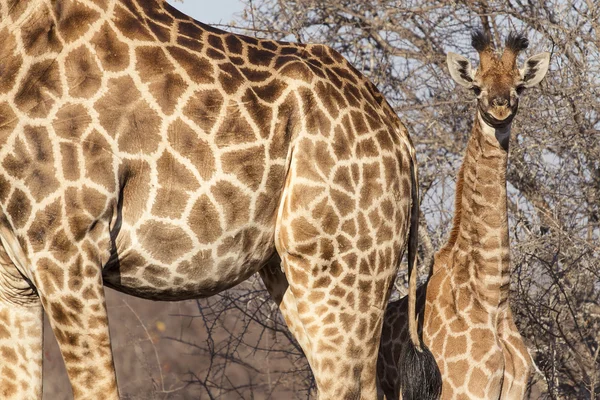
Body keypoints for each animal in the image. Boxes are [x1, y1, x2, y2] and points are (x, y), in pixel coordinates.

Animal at [378, 31, 552, 400]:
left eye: (519, 86)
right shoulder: (464, 392)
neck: (492, 297)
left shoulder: (516, 391)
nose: (500, 106)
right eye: (476, 87)